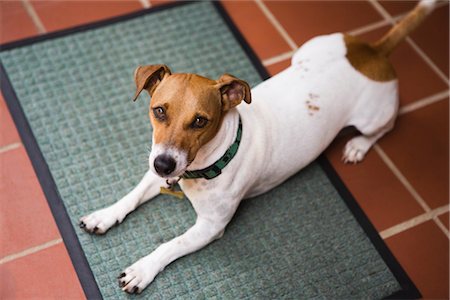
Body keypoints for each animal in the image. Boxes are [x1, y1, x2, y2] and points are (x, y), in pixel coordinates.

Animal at [80, 0, 436, 292]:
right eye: (159, 111)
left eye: (200, 121)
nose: (163, 165)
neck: (210, 161)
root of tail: (375, 53)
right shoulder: (161, 171)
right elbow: (131, 196)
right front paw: (104, 215)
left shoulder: (210, 227)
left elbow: (170, 244)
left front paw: (142, 270)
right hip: (309, 49)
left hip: (374, 117)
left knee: (383, 128)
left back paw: (358, 146)